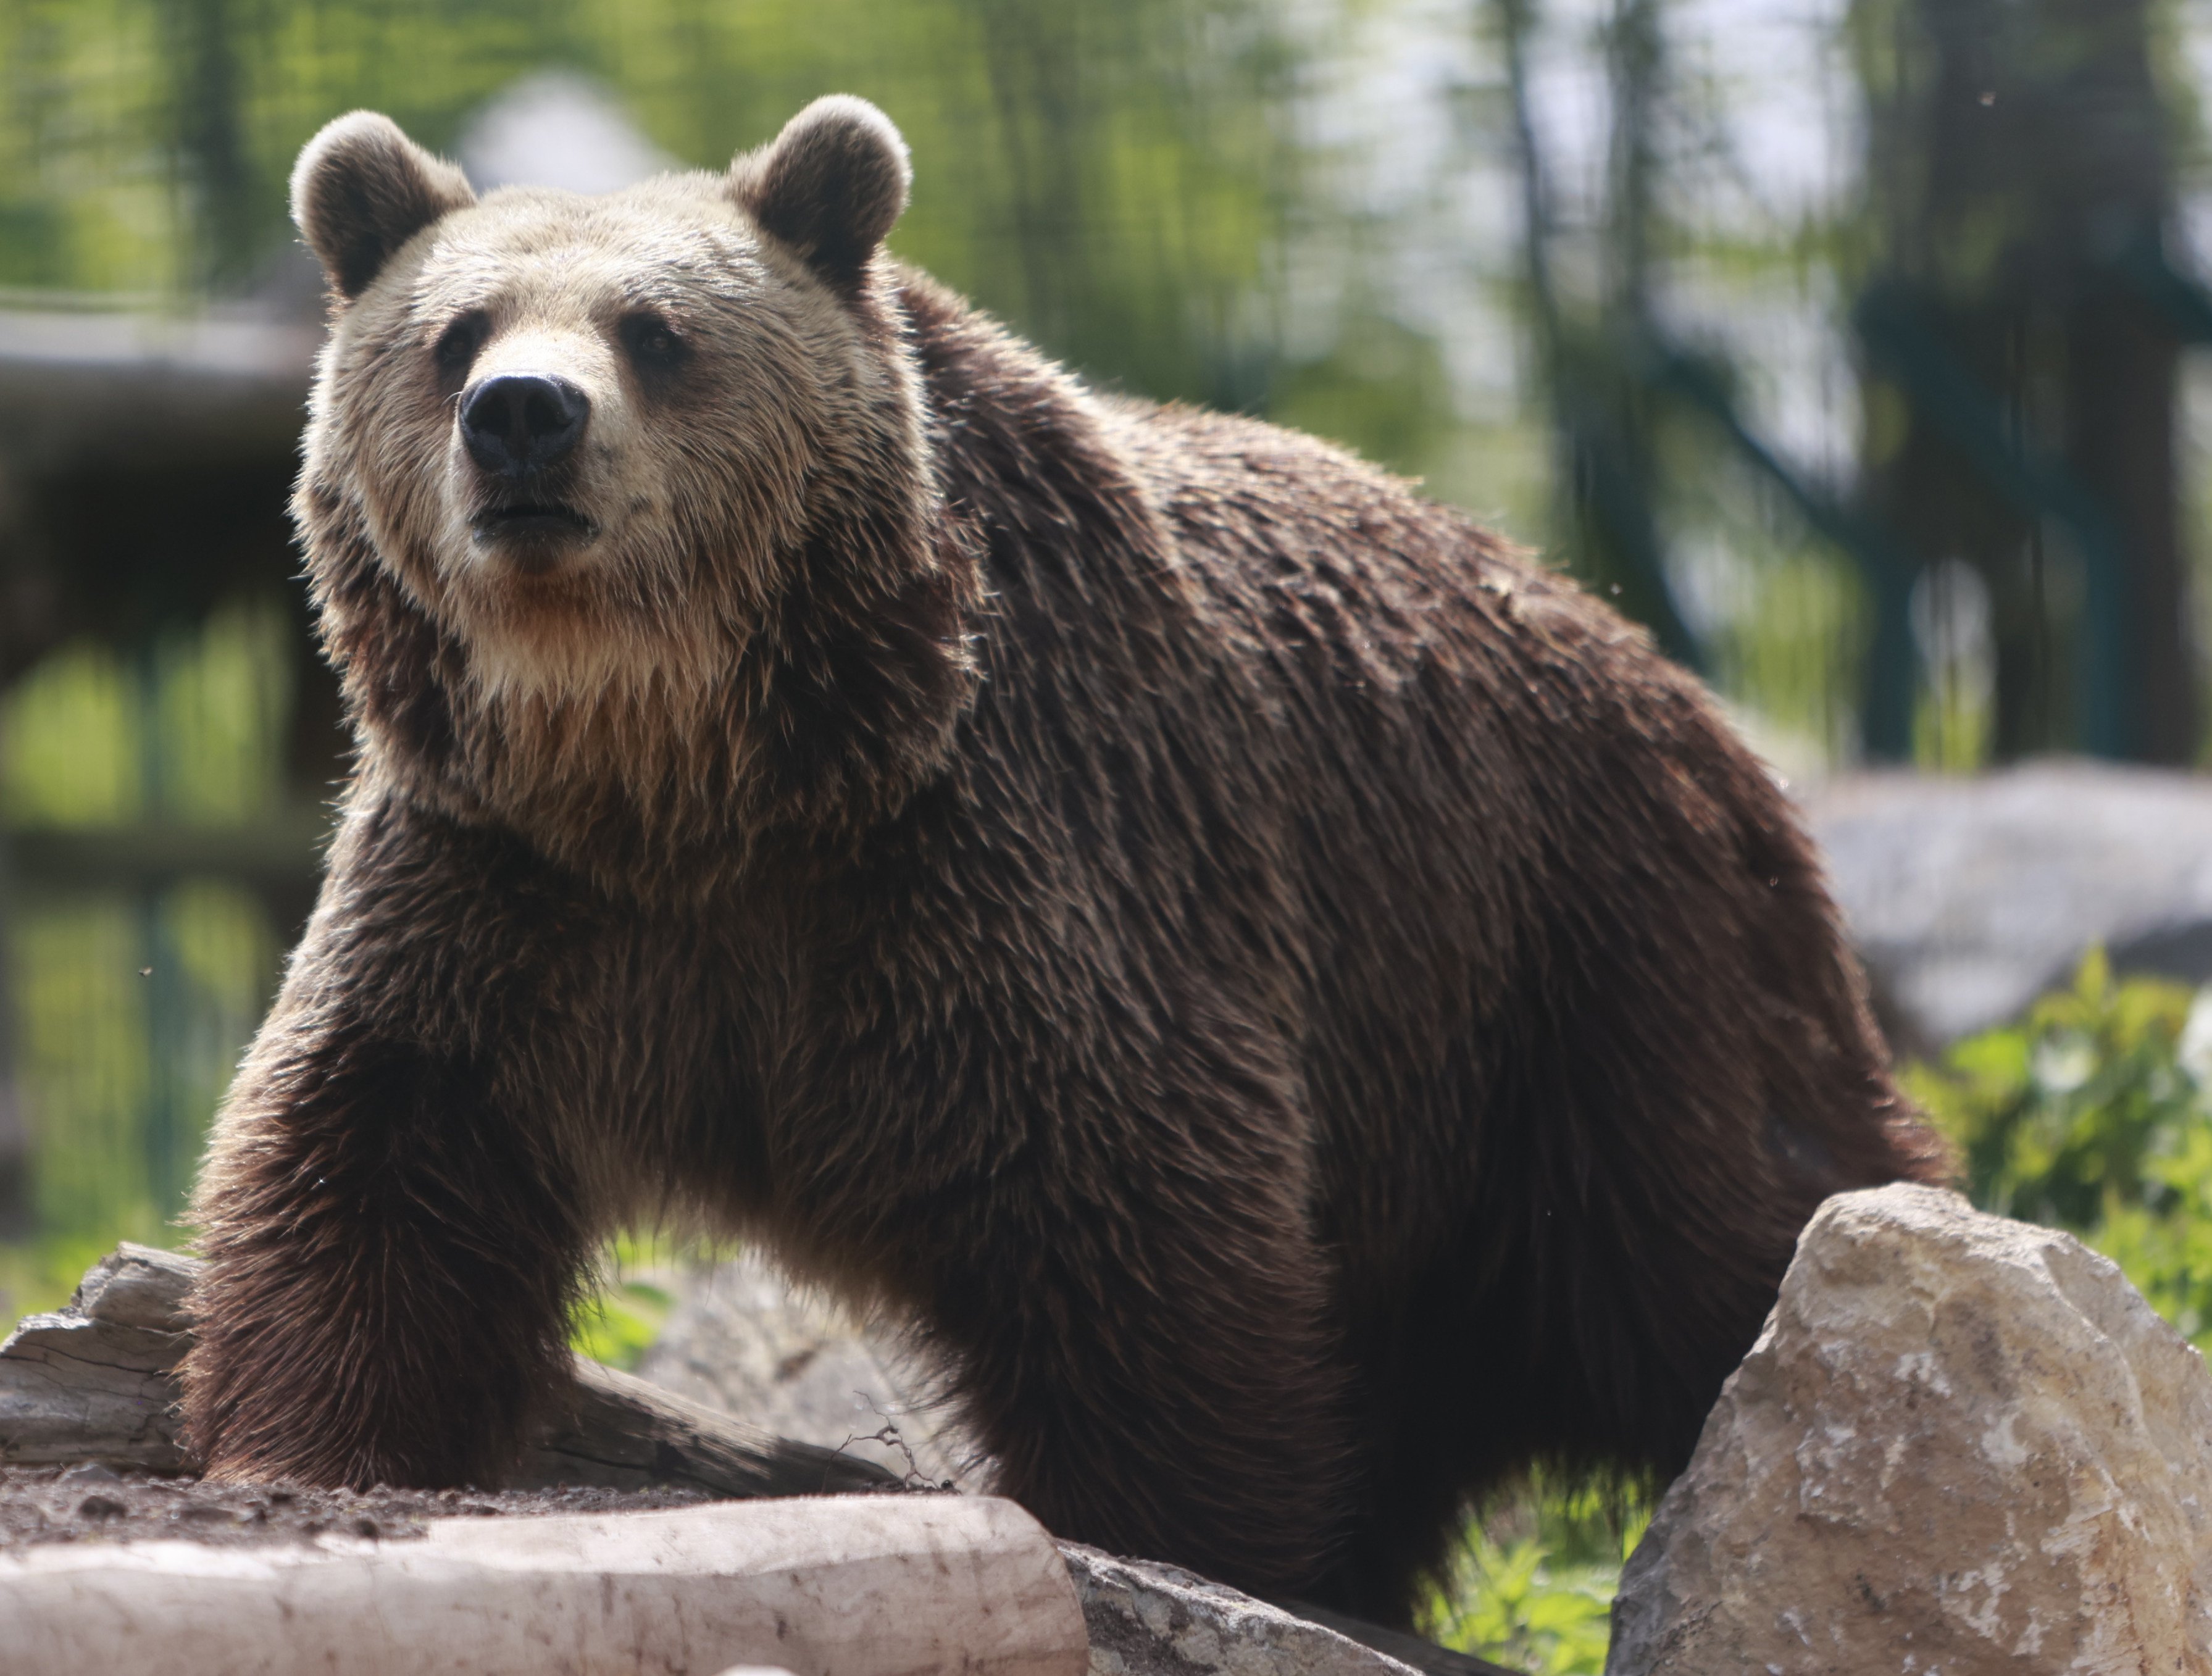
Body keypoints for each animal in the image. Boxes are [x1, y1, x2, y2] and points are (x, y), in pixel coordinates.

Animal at [190, 91, 1947, 1627]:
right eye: (453, 335)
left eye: (657, 330)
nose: (524, 419)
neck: (698, 771)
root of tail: (1677, 691)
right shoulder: (512, 891)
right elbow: (376, 1154)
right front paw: (309, 1444)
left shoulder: (1016, 854)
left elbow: (1131, 1206)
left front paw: (1197, 1544)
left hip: (1576, 972)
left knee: (1723, 1228)